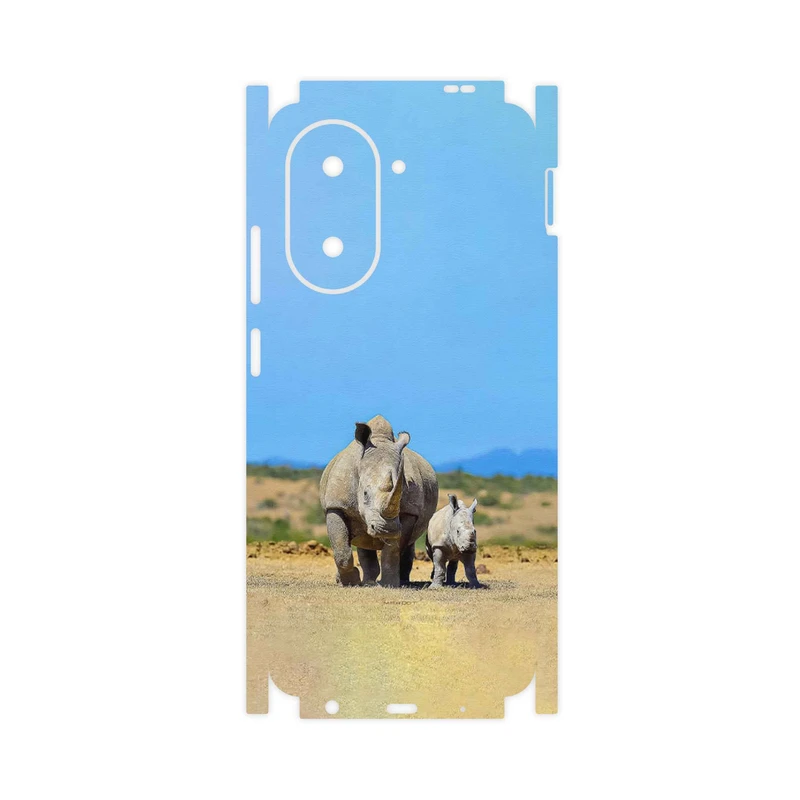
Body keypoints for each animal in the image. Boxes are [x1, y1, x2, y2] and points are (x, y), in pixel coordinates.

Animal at [319, 415, 438, 587]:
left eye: (400, 494)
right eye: (365, 494)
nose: (387, 529)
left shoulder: (409, 512)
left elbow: (393, 550)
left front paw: (390, 584)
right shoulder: (336, 505)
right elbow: (341, 549)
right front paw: (350, 582)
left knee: (407, 543)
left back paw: (400, 581)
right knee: (363, 541)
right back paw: (365, 582)